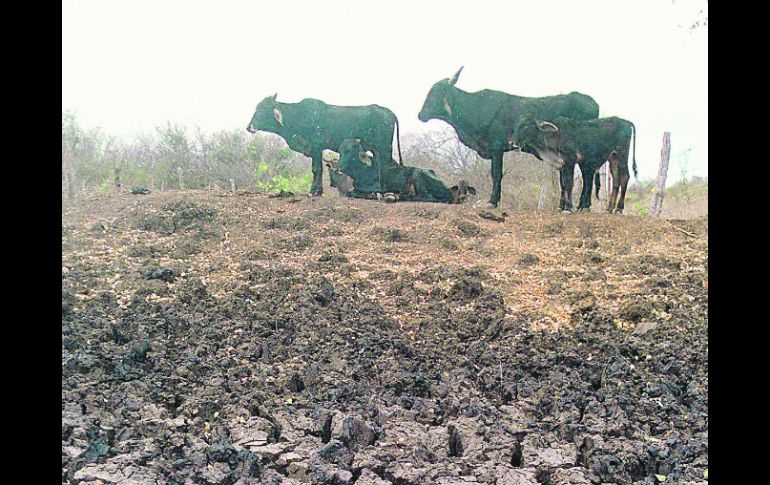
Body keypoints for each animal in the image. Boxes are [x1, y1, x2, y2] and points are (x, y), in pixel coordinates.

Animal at [246, 93, 402, 195]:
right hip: (377, 149)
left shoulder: (316, 147)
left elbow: (316, 169)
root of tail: (387, 111)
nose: (249, 127)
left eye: (261, 109)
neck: (298, 116)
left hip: (385, 147)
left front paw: (314, 191)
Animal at [416, 66, 596, 206]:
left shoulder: (497, 147)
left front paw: (492, 201)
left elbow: (496, 174)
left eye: (436, 91)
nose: (420, 115)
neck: (475, 107)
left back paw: (583, 205)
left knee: (587, 174)